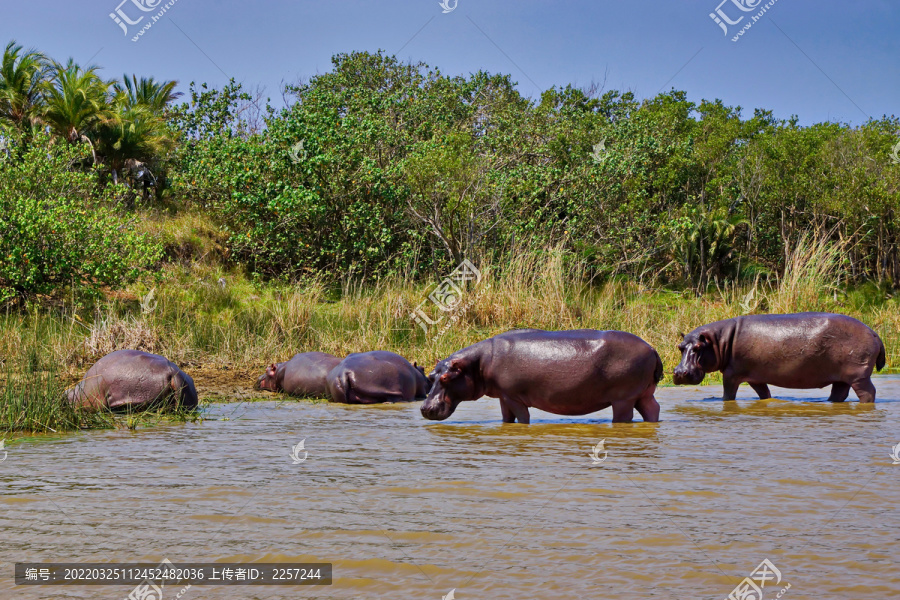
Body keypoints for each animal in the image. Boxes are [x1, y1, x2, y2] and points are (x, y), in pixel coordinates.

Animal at [420, 330, 660, 424]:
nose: (424, 408)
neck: (478, 364)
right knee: (652, 410)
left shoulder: (513, 397)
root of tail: (652, 348)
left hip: (624, 398)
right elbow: (506, 418)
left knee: (624, 418)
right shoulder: (503, 397)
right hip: (643, 394)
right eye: (430, 376)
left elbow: (522, 418)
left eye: (446, 378)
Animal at [676, 310, 884, 404]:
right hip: (842, 377)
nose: (679, 372)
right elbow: (764, 393)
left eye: (698, 347)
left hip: (858, 375)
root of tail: (874, 333)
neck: (719, 341)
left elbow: (728, 395)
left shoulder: (731, 374)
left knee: (868, 392)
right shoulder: (755, 377)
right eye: (680, 347)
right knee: (839, 393)